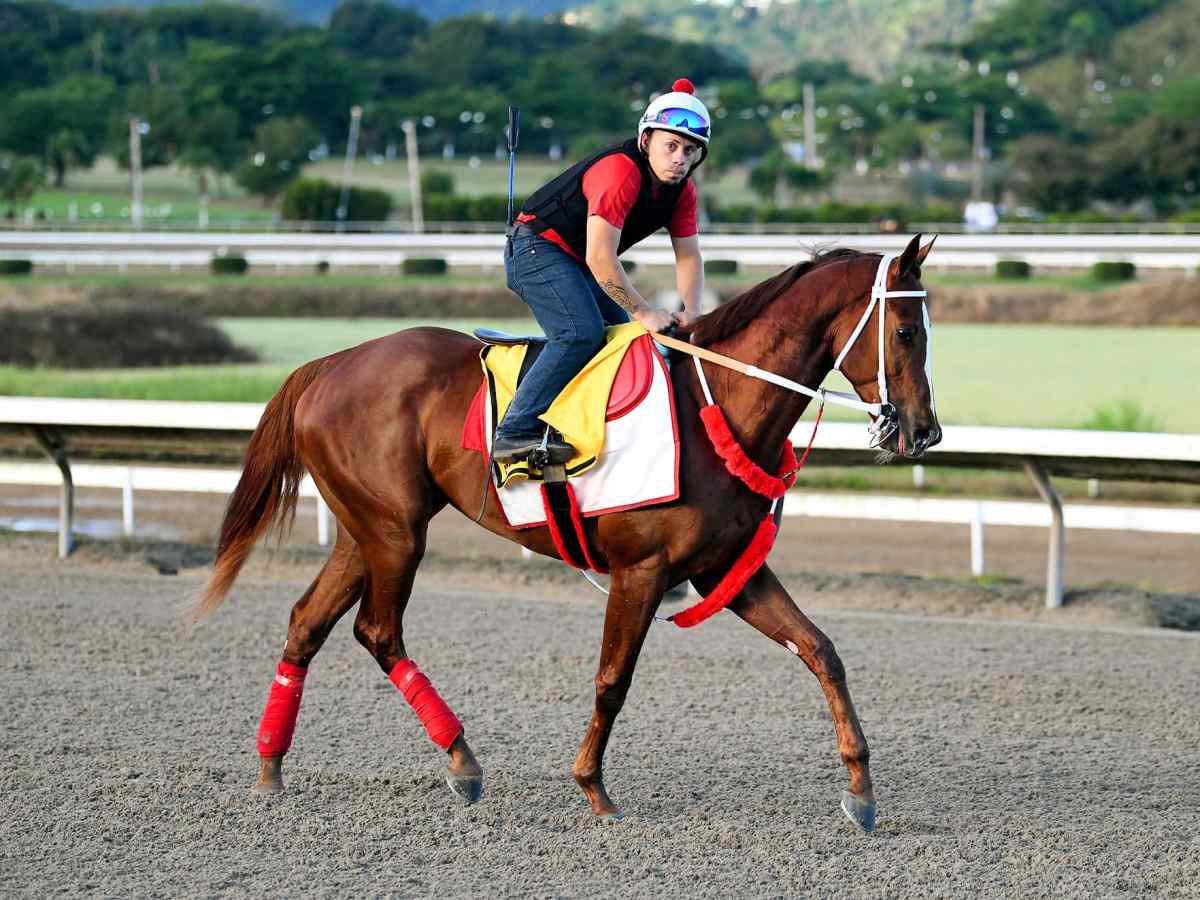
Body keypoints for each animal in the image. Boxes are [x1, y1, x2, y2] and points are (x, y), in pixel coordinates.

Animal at [196, 233, 940, 833]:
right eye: (907, 331)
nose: (923, 431)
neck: (716, 405)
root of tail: (330, 365)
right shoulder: (642, 569)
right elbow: (614, 678)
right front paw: (593, 788)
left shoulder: (729, 570)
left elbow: (821, 652)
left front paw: (861, 789)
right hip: (396, 534)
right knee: (377, 631)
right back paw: (462, 760)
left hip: (367, 530)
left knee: (307, 623)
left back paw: (271, 767)